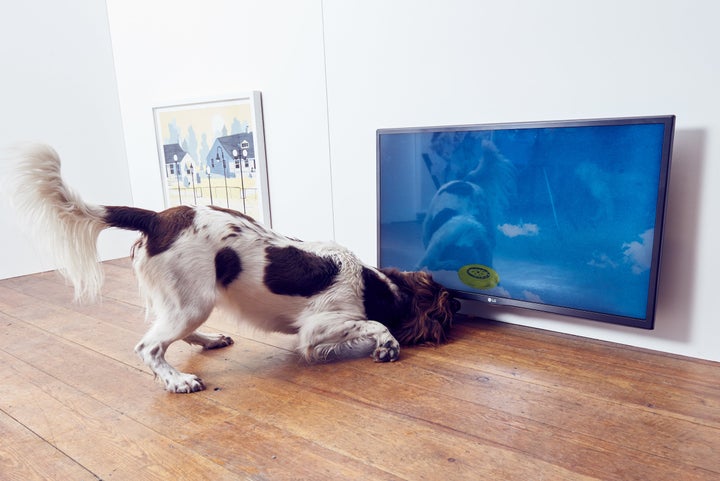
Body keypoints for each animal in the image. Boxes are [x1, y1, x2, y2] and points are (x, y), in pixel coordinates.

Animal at [8, 144, 458, 392]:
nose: (458, 309)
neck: (374, 284)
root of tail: (156, 219)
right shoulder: (318, 326)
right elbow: (374, 325)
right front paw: (387, 345)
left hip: (186, 303)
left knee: (172, 333)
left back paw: (208, 341)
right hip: (193, 302)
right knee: (149, 346)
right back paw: (177, 381)